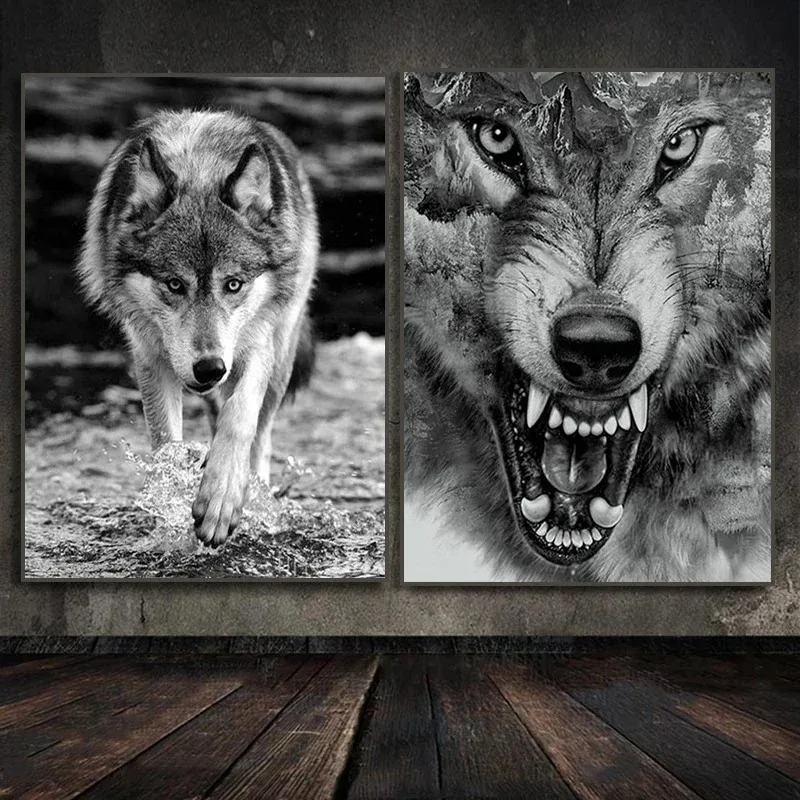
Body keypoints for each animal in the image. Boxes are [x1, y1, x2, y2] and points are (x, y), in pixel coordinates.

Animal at [78, 109, 318, 547]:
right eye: (175, 284)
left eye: (233, 284)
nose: (209, 368)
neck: (200, 166)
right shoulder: (150, 357)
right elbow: (166, 446)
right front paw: (171, 504)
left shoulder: (256, 345)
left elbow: (240, 418)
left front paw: (222, 496)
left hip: (281, 357)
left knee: (260, 434)